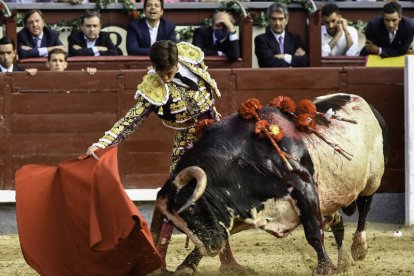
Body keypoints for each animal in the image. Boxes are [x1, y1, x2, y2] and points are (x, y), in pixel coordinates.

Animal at [154, 94, 388, 274]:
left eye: (192, 208)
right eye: (176, 224)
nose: (211, 247)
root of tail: (365, 103)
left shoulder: (303, 187)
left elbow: (313, 231)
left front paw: (325, 268)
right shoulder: (245, 209)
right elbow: (226, 232)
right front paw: (187, 265)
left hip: (373, 178)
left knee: (365, 206)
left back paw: (359, 248)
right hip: (331, 195)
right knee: (338, 222)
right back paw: (344, 263)